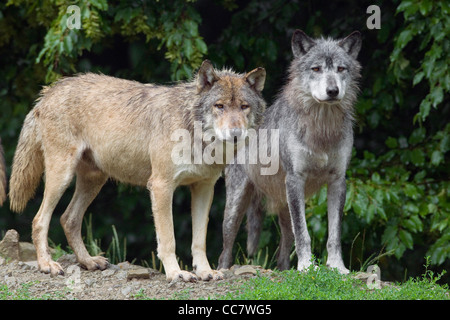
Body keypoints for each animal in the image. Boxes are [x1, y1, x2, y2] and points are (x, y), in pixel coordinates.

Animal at [8, 61, 268, 282]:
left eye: (244, 107)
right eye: (219, 106)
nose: (236, 134)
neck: (194, 133)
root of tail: (48, 92)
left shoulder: (204, 188)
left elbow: (199, 241)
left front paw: (205, 272)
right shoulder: (161, 187)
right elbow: (168, 239)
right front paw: (176, 273)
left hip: (94, 180)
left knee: (68, 218)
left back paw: (88, 261)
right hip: (62, 176)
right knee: (40, 220)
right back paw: (47, 265)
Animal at [218, 30, 362, 274]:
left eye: (341, 69)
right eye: (316, 69)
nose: (332, 91)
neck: (322, 129)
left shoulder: (338, 181)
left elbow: (334, 235)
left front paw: (337, 267)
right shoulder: (296, 179)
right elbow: (304, 234)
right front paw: (307, 267)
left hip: (285, 208)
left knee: (283, 250)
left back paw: (285, 270)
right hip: (236, 208)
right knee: (225, 250)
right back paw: (221, 271)